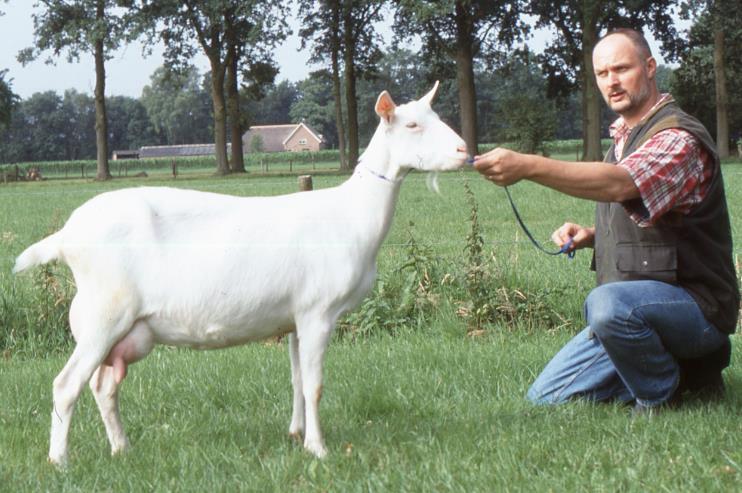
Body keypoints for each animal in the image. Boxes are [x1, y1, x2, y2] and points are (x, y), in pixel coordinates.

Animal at [13, 81, 464, 466]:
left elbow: (297, 380)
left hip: (122, 329)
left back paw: (122, 448)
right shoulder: (318, 312)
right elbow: (315, 385)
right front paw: (318, 449)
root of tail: (67, 235)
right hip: (103, 316)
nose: (463, 150)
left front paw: (296, 435)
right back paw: (60, 461)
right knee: (66, 386)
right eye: (412, 124)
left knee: (103, 387)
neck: (352, 213)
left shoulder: (295, 318)